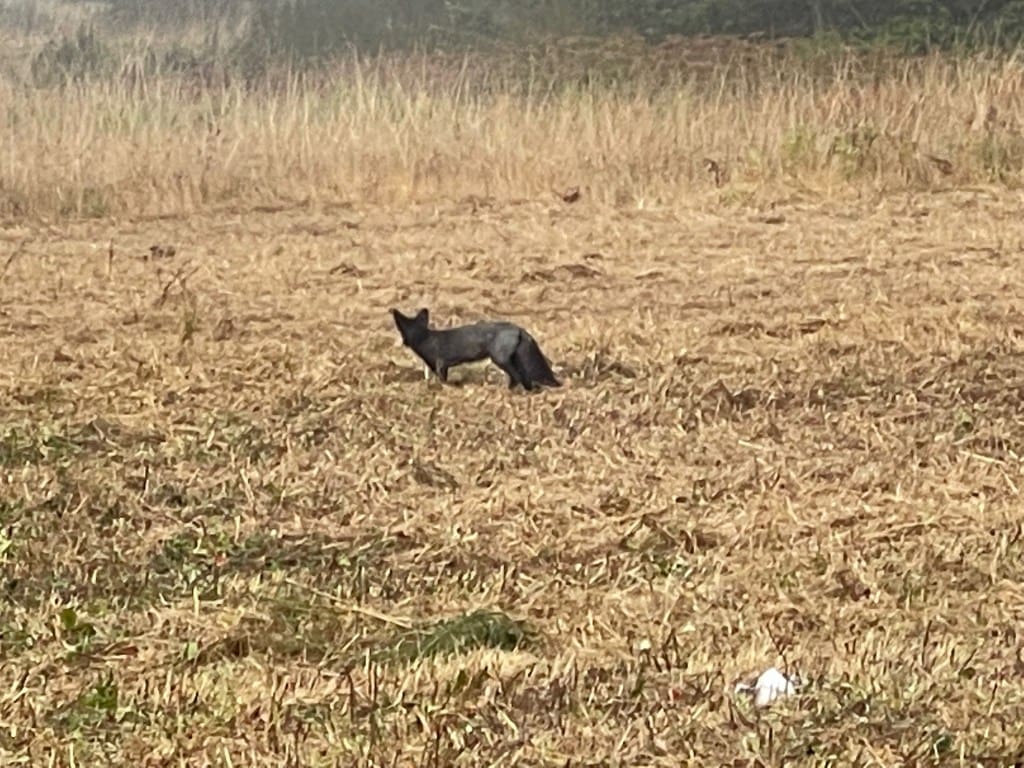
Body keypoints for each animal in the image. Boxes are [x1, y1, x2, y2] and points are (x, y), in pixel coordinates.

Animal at [391, 308, 561, 391]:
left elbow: (442, 381)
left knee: (517, 378)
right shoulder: (440, 367)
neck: (426, 339)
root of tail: (519, 328)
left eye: (400, 330)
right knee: (525, 380)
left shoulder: (441, 364)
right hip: (514, 361)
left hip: (499, 359)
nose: (402, 343)